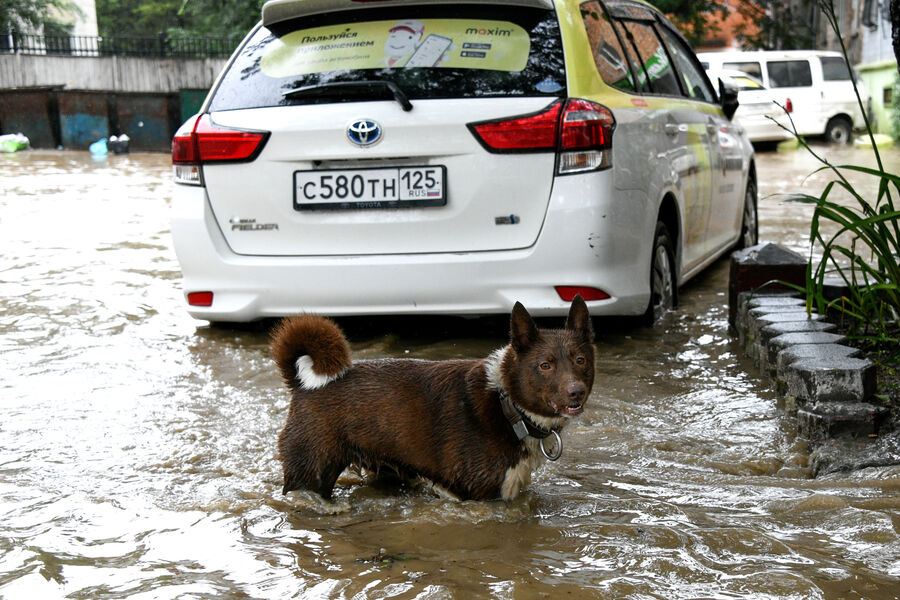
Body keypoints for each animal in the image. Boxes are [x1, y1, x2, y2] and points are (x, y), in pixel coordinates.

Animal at [274, 296, 596, 502]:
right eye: (545, 365)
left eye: (580, 360)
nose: (576, 391)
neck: (507, 405)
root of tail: (301, 383)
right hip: (310, 473)